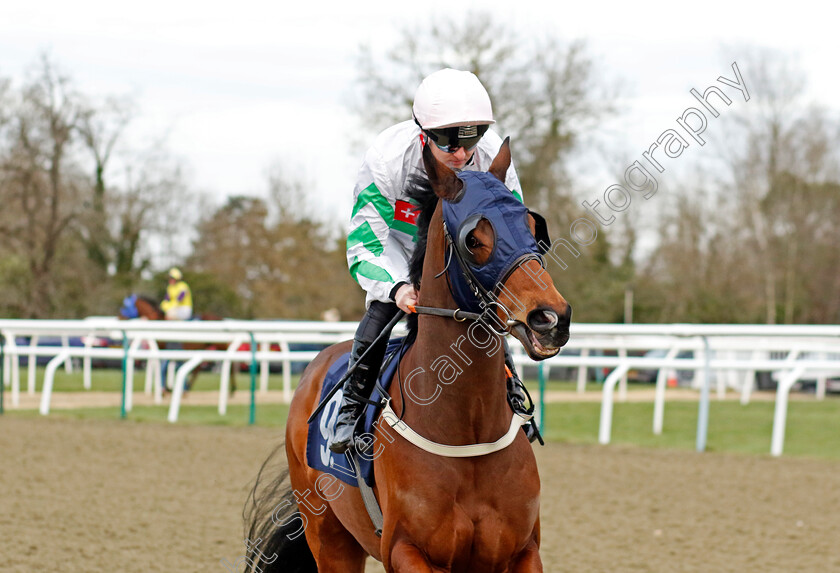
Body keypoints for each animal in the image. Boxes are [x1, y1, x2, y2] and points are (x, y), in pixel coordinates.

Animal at [243, 140, 572, 572]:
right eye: (473, 239)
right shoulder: (406, 549)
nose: (551, 319)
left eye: (534, 229)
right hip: (329, 537)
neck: (468, 431)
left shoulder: (523, 551)